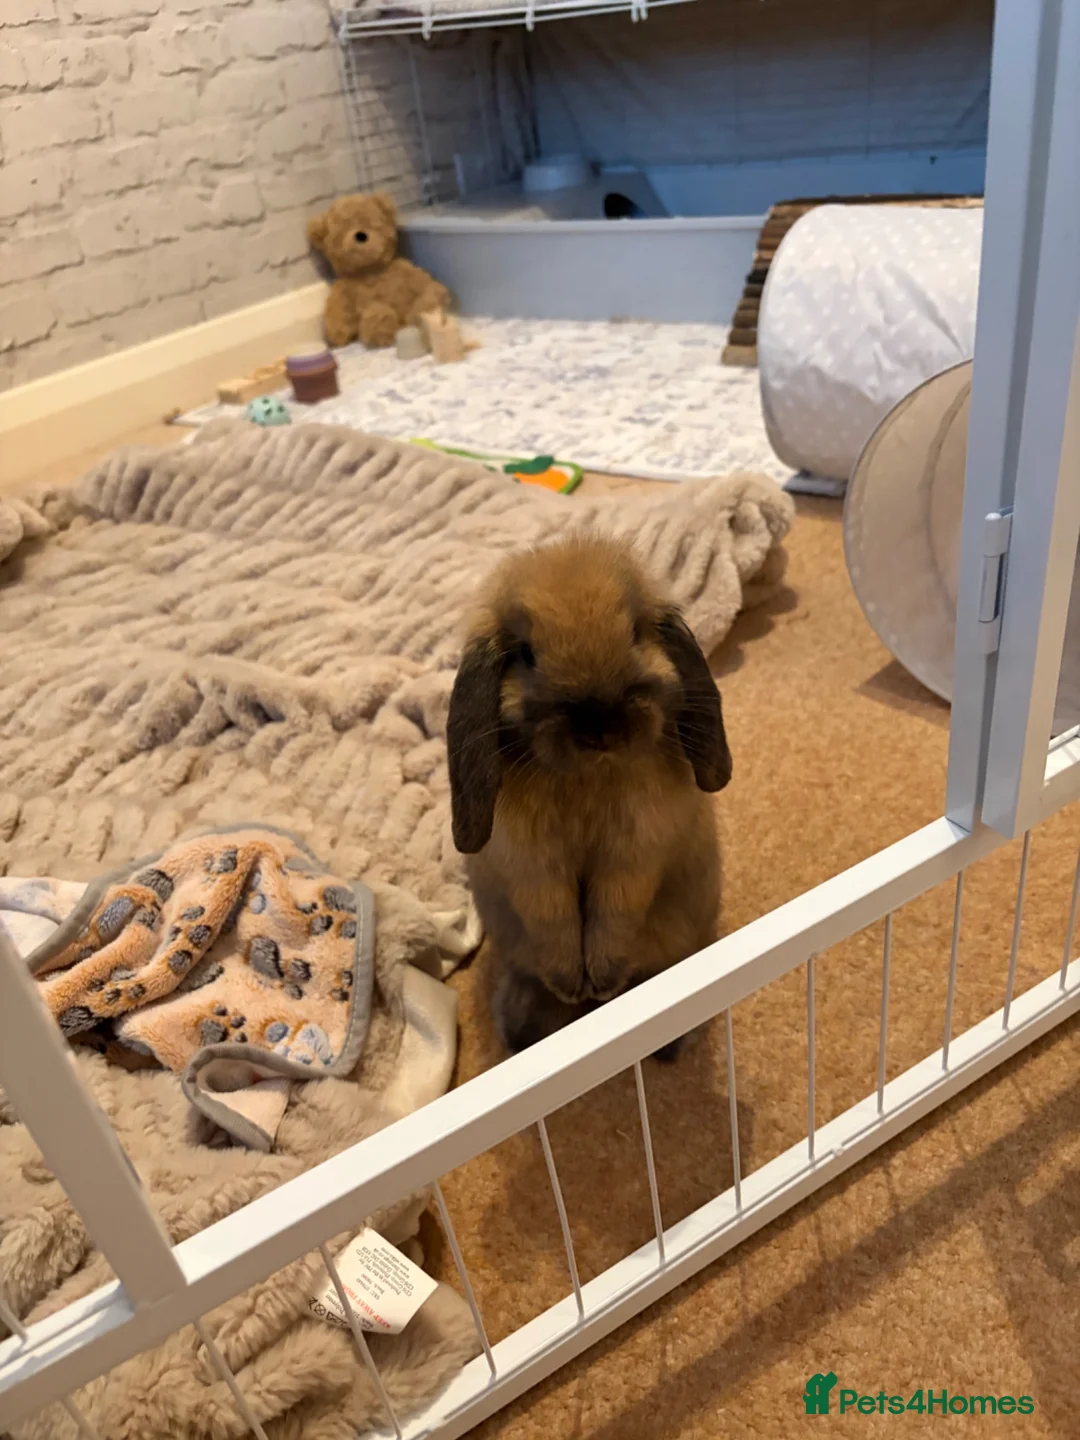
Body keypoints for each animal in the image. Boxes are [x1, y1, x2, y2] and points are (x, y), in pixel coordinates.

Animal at [446, 532, 731, 1059]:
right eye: (525, 653)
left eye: (637, 631)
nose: (601, 727)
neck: (587, 778)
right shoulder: (533, 869)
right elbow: (555, 921)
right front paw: (573, 986)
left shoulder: (634, 857)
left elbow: (613, 914)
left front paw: (600, 981)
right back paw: (522, 1032)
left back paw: (665, 1043)